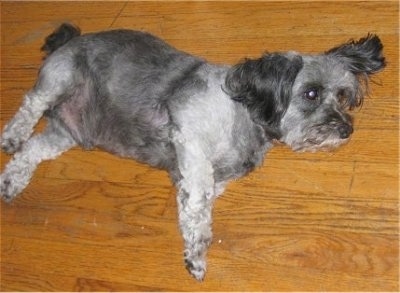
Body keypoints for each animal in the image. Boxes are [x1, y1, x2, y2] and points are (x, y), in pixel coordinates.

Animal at [0, 24, 388, 280]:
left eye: (342, 95)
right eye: (310, 93)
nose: (346, 129)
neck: (243, 111)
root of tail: (70, 39)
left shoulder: (205, 175)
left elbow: (193, 206)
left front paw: (192, 243)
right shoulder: (192, 145)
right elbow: (200, 210)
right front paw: (197, 253)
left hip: (65, 134)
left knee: (33, 149)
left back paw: (11, 182)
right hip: (56, 82)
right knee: (28, 109)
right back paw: (11, 136)